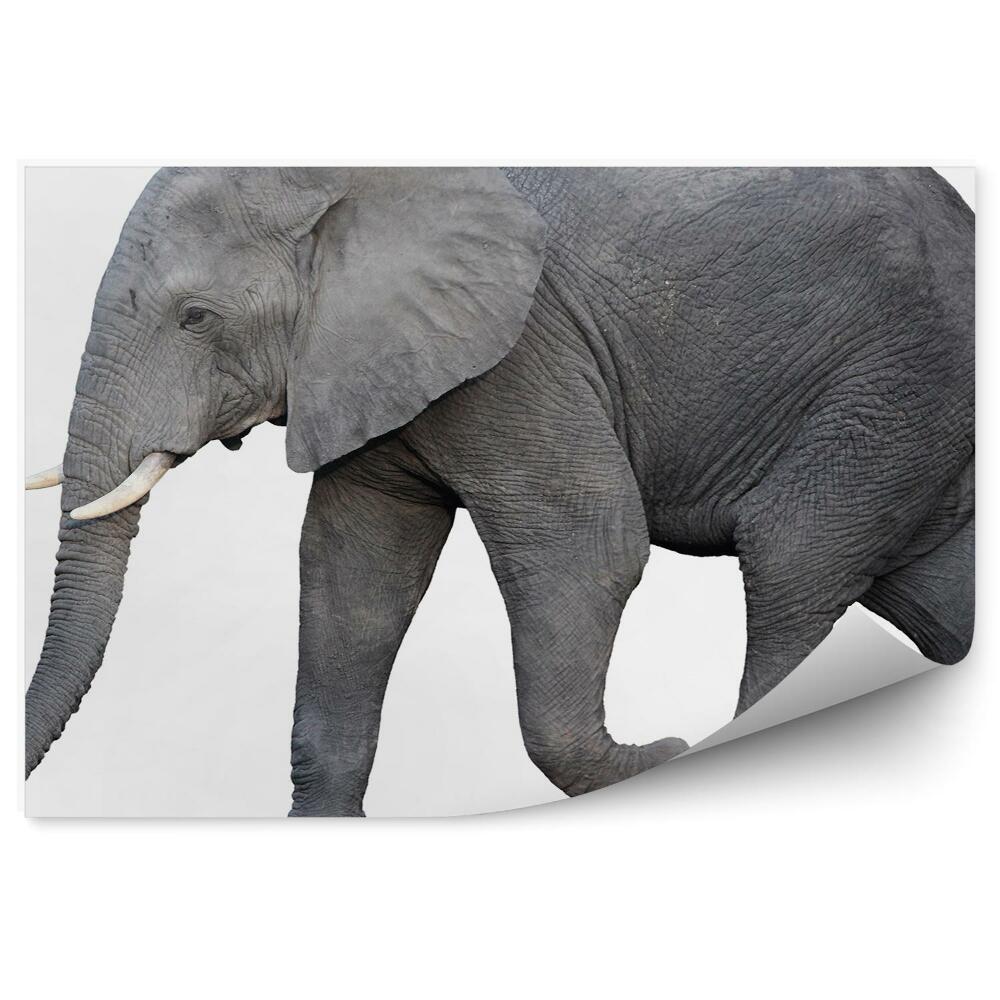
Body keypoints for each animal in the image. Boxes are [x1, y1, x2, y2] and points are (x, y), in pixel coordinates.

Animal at [25, 167, 974, 817]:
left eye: (196, 318)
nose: (670, 738)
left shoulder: (524, 347)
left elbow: (589, 544)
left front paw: (661, 750)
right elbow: (351, 569)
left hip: (893, 393)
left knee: (792, 563)